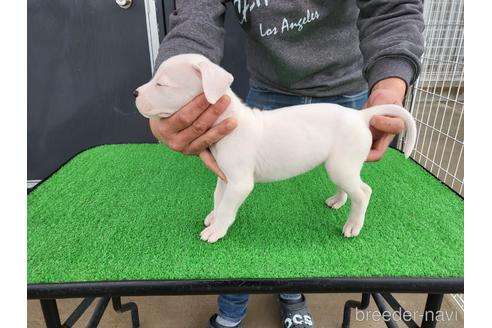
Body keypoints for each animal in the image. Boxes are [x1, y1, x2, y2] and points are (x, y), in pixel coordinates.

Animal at [135, 53, 416, 242]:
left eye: (162, 84)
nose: (135, 94)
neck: (229, 120)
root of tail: (360, 116)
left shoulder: (239, 183)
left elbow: (227, 206)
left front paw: (216, 229)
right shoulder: (224, 177)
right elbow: (218, 198)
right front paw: (213, 216)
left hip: (342, 165)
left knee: (364, 192)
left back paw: (353, 226)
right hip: (339, 165)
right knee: (350, 187)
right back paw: (338, 200)